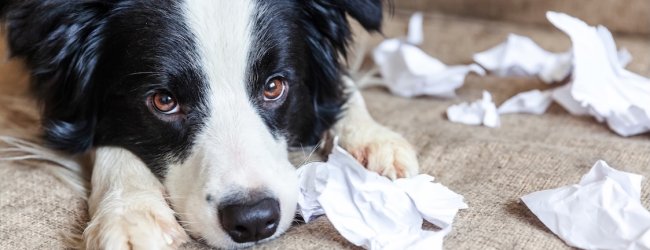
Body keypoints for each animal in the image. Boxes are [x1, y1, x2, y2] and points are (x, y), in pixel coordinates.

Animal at [0, 0, 418, 249]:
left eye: (274, 87)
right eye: (164, 101)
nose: (254, 221)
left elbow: (339, 82)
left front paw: (373, 140)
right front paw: (130, 213)